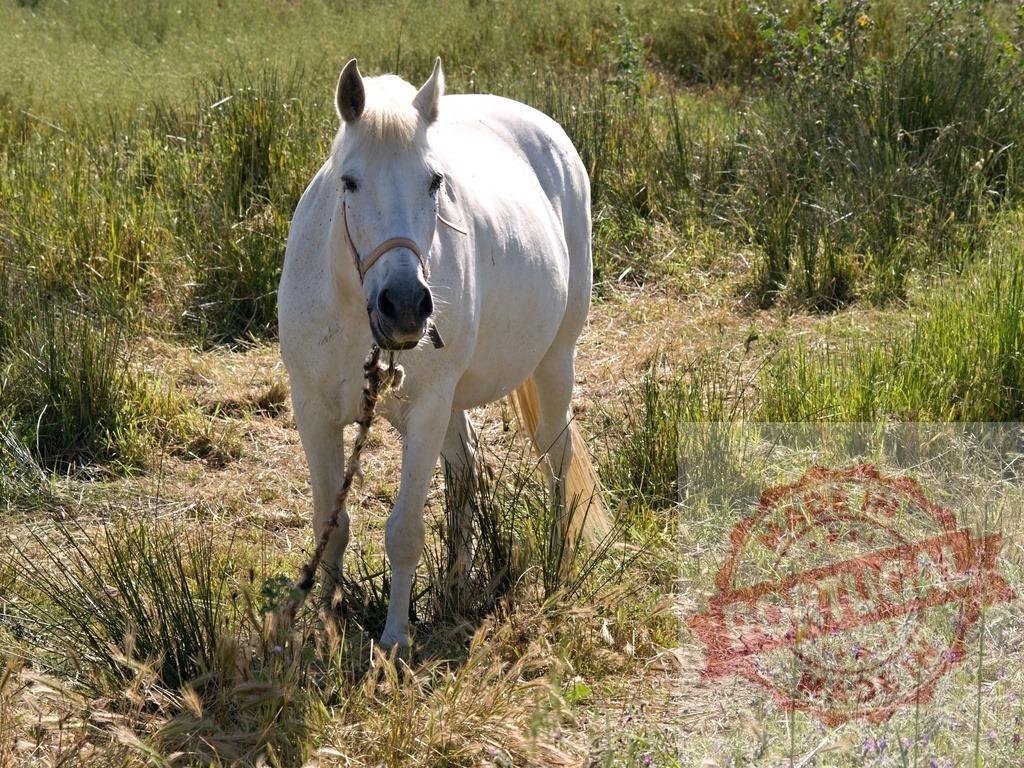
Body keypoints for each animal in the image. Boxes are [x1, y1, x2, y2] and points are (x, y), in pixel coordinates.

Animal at [278, 58, 610, 648]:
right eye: (349, 182)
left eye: (434, 181)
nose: (406, 306)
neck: (351, 309)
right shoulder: (312, 410)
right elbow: (331, 528)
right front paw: (327, 628)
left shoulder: (428, 406)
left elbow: (404, 532)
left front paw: (393, 641)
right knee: (467, 467)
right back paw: (456, 582)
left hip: (554, 362)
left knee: (556, 454)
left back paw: (556, 564)